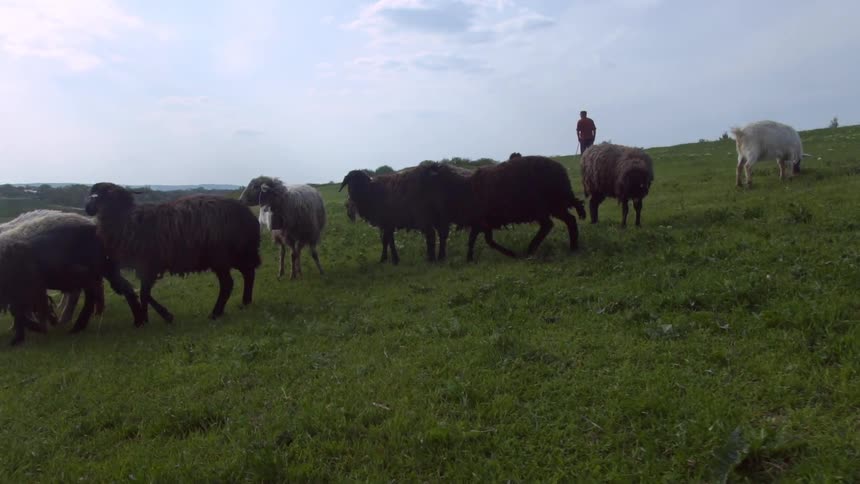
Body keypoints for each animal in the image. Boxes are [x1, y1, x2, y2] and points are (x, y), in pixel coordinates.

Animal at [0, 211, 143, 345]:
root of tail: (95, 226)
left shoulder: (26, 288)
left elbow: (23, 312)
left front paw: (26, 334)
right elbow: (21, 312)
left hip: (90, 271)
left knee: (93, 294)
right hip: (102, 269)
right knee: (119, 288)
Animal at [85, 182, 261, 323]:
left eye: (98, 195)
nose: (87, 209)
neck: (124, 218)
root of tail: (248, 217)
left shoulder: (148, 265)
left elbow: (144, 293)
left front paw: (154, 317)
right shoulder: (147, 267)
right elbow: (143, 293)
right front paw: (153, 317)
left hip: (221, 257)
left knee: (228, 283)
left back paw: (215, 313)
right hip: (238, 254)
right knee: (249, 273)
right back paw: (246, 302)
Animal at [423, 155, 587, 261]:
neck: (460, 189)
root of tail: (562, 171)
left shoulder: (479, 221)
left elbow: (480, 240)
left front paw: (510, 253)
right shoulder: (481, 223)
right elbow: (480, 240)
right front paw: (470, 258)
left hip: (547, 205)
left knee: (553, 223)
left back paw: (534, 249)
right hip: (552, 206)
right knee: (566, 220)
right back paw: (571, 246)